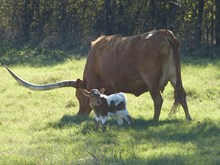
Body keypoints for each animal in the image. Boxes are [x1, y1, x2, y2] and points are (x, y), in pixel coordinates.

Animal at [4, 29, 191, 120]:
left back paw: (154, 120)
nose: (79, 115)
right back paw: (188, 119)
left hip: (152, 81)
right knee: (182, 94)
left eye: (79, 96)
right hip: (176, 76)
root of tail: (165, 33)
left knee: (158, 100)